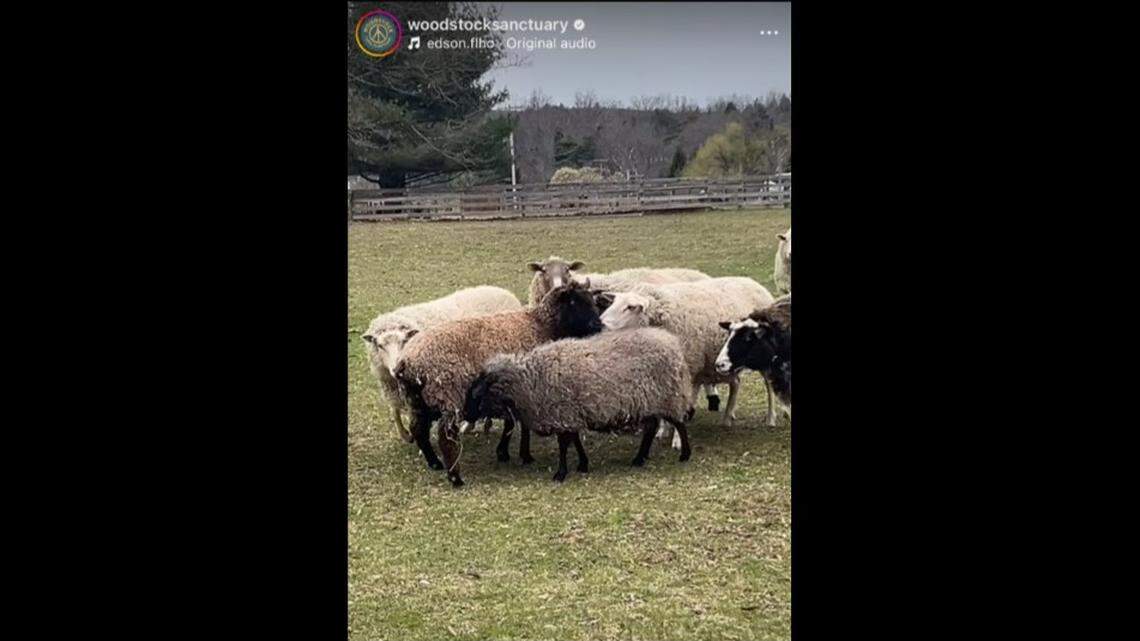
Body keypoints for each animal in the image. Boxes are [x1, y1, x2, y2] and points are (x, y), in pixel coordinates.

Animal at [361, 286, 522, 442]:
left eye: (404, 341)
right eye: (379, 346)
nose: (395, 369)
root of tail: (507, 293)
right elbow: (394, 411)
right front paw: (405, 435)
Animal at [394, 280, 604, 486]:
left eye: (591, 300)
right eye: (573, 302)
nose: (599, 325)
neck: (540, 325)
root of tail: (409, 361)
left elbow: (513, 422)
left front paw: (507, 453)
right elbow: (517, 423)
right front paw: (522, 455)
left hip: (417, 400)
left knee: (418, 430)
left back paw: (434, 463)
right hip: (447, 395)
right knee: (445, 436)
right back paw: (455, 477)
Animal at [463, 327, 695, 483]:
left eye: (478, 393)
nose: (464, 413)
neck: (530, 381)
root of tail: (673, 344)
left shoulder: (563, 413)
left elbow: (564, 445)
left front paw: (560, 473)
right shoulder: (571, 414)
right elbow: (575, 441)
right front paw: (583, 464)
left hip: (668, 396)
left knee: (679, 423)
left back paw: (684, 454)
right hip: (648, 402)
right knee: (652, 427)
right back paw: (640, 458)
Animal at [598, 277, 775, 429]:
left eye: (630, 307)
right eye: (613, 303)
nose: (601, 323)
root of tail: (752, 281)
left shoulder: (690, 369)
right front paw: (663, 430)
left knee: (769, 385)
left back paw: (770, 418)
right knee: (736, 382)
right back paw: (728, 417)